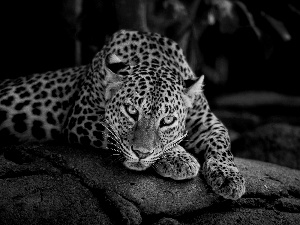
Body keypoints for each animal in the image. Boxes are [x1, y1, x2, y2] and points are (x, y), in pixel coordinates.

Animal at [0, 29, 246, 200]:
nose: (141, 154)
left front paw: (229, 177)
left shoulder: (206, 121)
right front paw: (179, 158)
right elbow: (114, 134)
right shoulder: (81, 116)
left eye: (167, 120)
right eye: (131, 111)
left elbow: (222, 140)